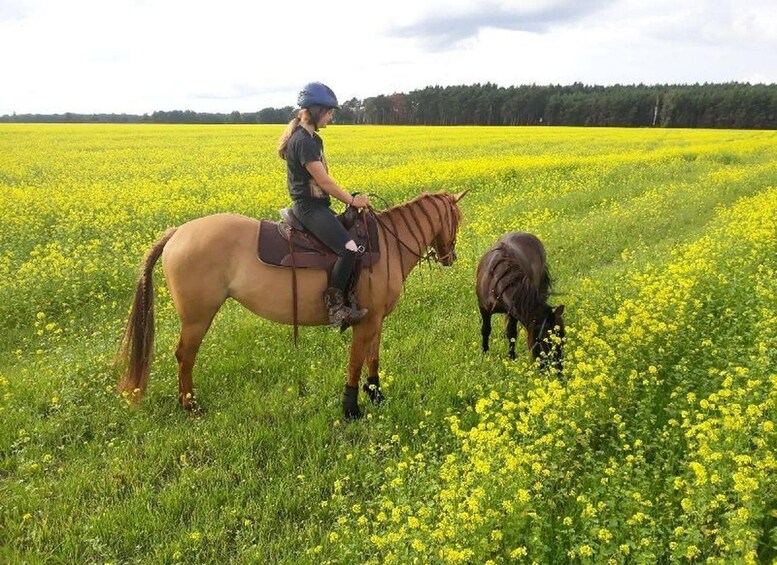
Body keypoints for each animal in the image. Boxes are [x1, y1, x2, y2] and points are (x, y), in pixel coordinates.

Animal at [117, 190, 466, 419]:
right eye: (457, 219)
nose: (450, 257)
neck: (389, 245)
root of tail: (177, 233)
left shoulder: (376, 319)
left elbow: (373, 359)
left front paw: (377, 396)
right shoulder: (365, 320)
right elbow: (356, 361)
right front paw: (351, 408)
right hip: (197, 318)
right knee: (185, 356)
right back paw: (190, 405)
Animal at [476, 232, 565, 372]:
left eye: (563, 340)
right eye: (547, 342)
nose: (559, 371)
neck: (496, 281)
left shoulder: (512, 311)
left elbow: (511, 334)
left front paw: (511, 357)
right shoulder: (483, 309)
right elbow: (486, 330)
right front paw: (485, 353)